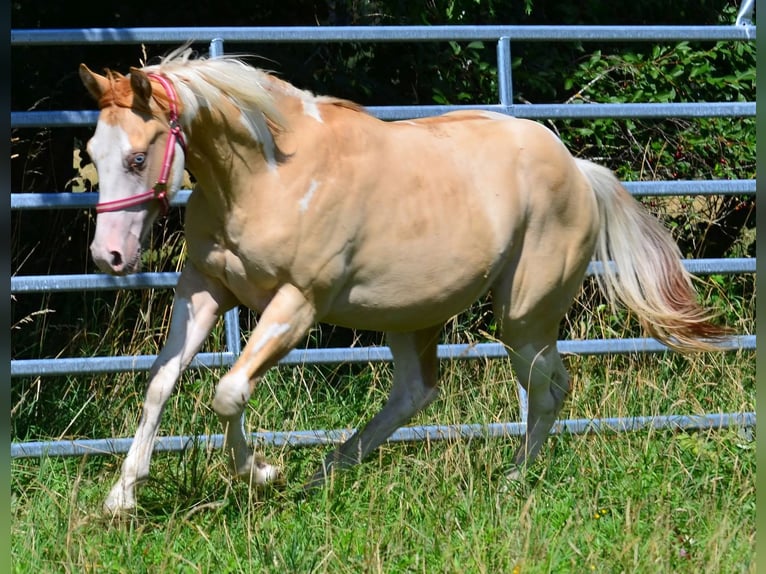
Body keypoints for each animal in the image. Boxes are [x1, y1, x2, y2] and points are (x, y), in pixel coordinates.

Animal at [79, 47, 727, 514]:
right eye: (93, 151)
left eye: (138, 157)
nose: (109, 255)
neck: (267, 175)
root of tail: (578, 168)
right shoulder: (206, 289)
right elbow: (161, 384)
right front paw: (121, 498)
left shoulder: (298, 303)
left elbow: (228, 392)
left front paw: (261, 473)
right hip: (410, 314)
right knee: (416, 393)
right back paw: (325, 474)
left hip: (524, 318)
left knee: (550, 388)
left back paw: (512, 479)